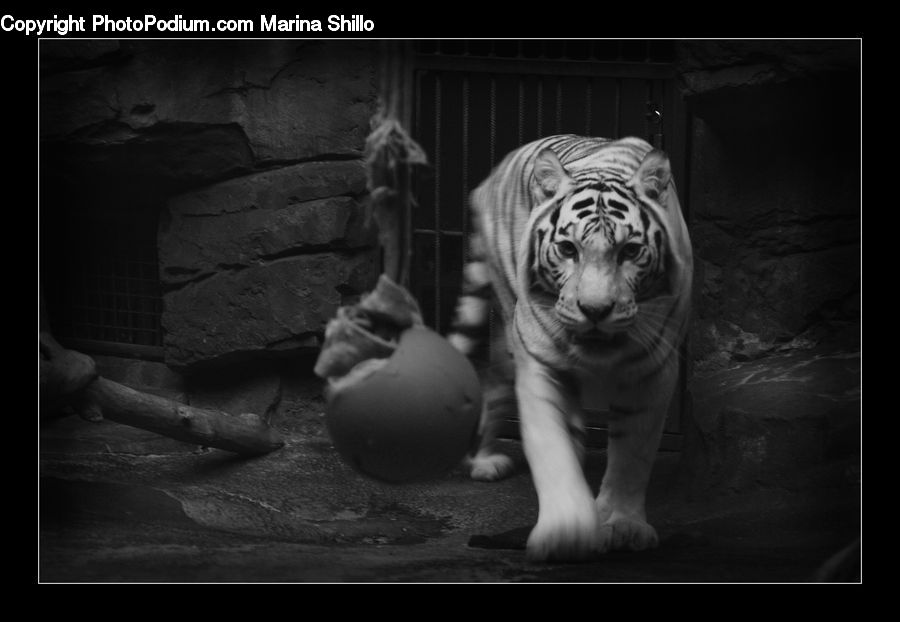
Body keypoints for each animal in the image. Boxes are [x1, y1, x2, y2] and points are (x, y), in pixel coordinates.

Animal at [447, 134, 693, 562]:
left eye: (630, 252)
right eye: (567, 249)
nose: (594, 310)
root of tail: (491, 176)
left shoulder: (653, 369)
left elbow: (633, 455)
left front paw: (622, 524)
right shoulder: (541, 362)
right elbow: (553, 446)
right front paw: (568, 530)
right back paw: (485, 462)